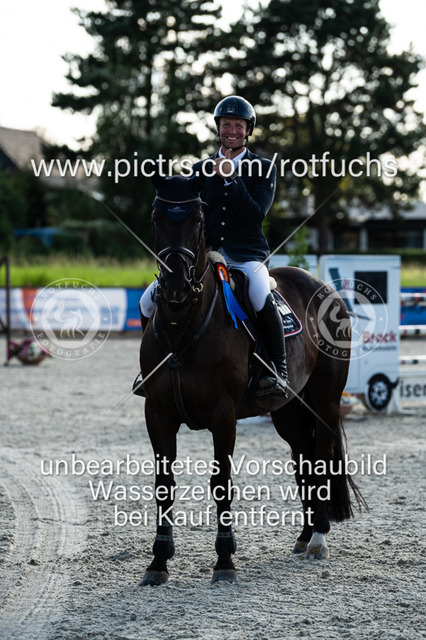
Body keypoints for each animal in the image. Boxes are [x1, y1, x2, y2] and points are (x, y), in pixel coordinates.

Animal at [138, 173, 365, 586]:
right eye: (156, 218)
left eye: (197, 219)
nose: (176, 287)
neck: (184, 324)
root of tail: (324, 287)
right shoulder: (157, 413)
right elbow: (164, 485)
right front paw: (158, 563)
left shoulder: (223, 416)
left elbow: (221, 483)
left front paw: (225, 560)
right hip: (288, 410)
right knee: (304, 458)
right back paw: (304, 534)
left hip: (324, 400)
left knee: (321, 457)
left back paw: (318, 539)